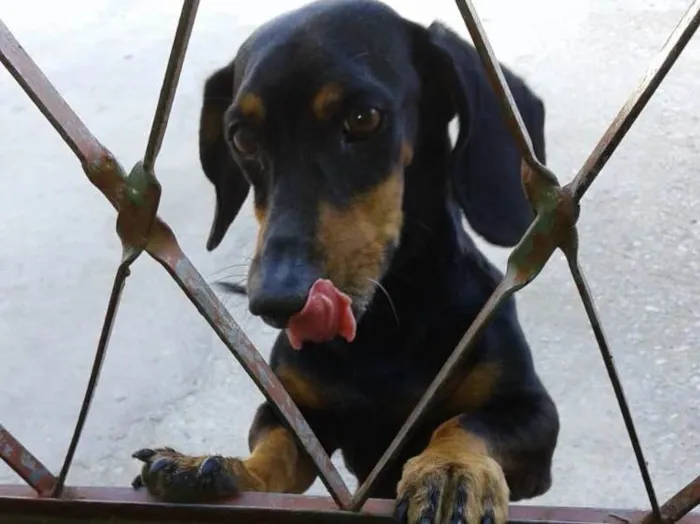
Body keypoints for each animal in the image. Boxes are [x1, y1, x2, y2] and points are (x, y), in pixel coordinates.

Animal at [130, 2, 556, 520]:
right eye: (242, 138)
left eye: (363, 117)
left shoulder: (532, 414)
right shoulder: (293, 414)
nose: (276, 302)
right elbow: (275, 448)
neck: (385, 328)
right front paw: (214, 467)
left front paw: (452, 470)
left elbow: (466, 424)